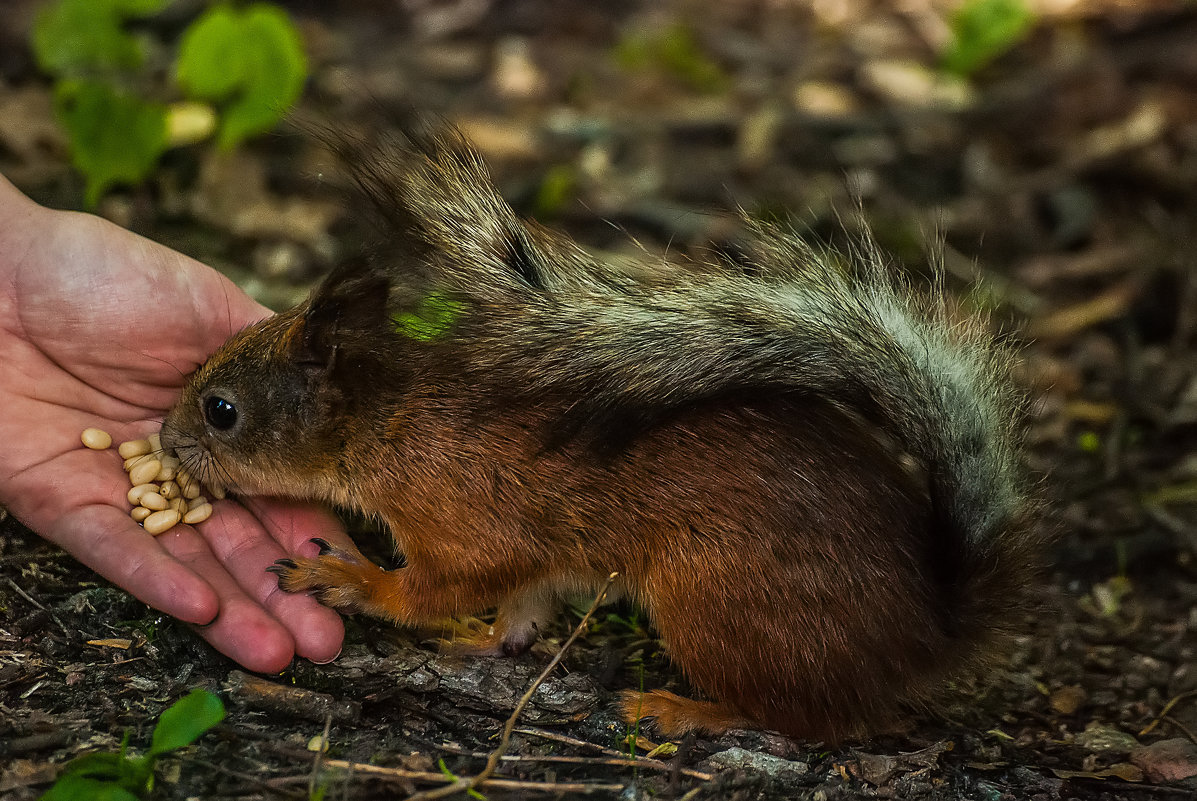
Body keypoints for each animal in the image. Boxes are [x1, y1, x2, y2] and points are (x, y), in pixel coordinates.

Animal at [159, 118, 1038, 742]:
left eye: (222, 411)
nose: (166, 441)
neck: (387, 420)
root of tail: (925, 633)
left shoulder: (465, 520)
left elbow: (435, 585)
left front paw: (350, 578)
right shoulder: (535, 556)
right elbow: (523, 607)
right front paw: (485, 639)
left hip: (713, 600)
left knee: (809, 721)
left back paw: (689, 711)